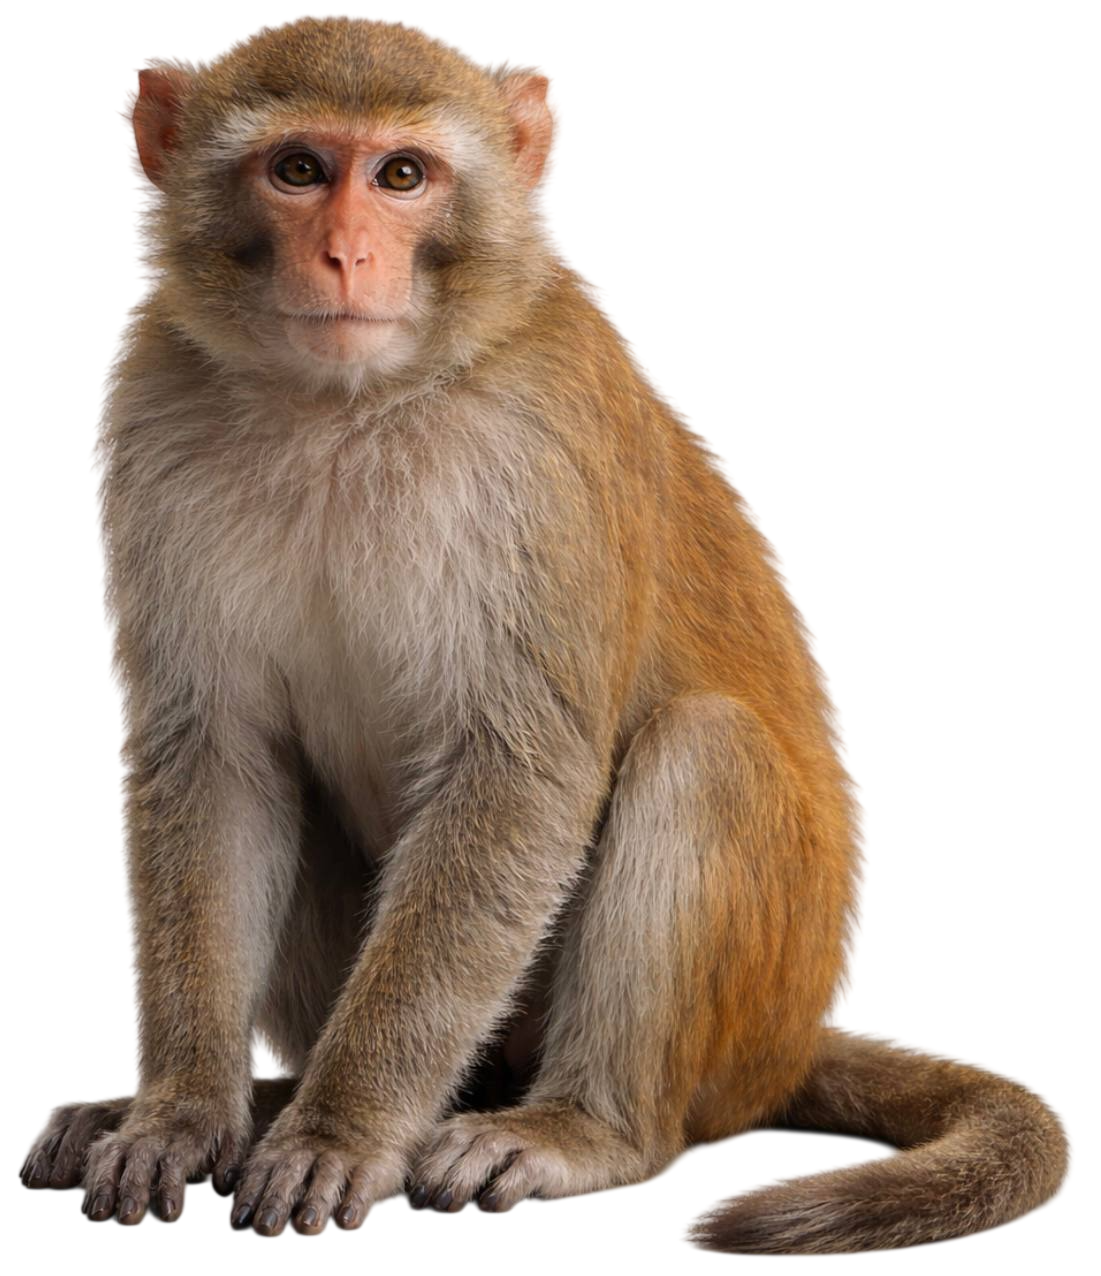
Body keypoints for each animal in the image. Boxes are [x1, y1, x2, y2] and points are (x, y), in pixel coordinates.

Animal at [17, 16, 1072, 1254]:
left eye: (402, 176)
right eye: (299, 169)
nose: (344, 255)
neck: (344, 408)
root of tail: (791, 1045)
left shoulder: (540, 442)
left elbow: (520, 767)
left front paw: (341, 1132)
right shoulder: (152, 403)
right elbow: (216, 760)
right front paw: (180, 1114)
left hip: (737, 1032)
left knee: (703, 750)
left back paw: (585, 1128)